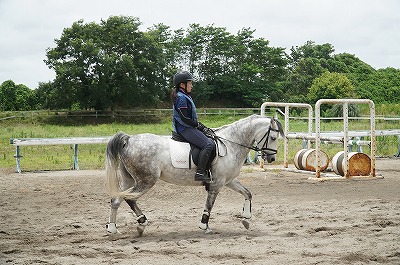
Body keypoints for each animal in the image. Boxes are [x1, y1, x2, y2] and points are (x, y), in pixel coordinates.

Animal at [104, 114, 282, 234]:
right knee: (129, 198)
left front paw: (246, 218)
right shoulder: (217, 183)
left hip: (129, 180)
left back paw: (113, 228)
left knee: (117, 200)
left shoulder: (229, 180)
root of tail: (129, 140)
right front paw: (204, 226)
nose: (272, 158)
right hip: (145, 181)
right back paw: (141, 222)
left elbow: (248, 193)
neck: (231, 144)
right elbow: (209, 204)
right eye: (273, 137)